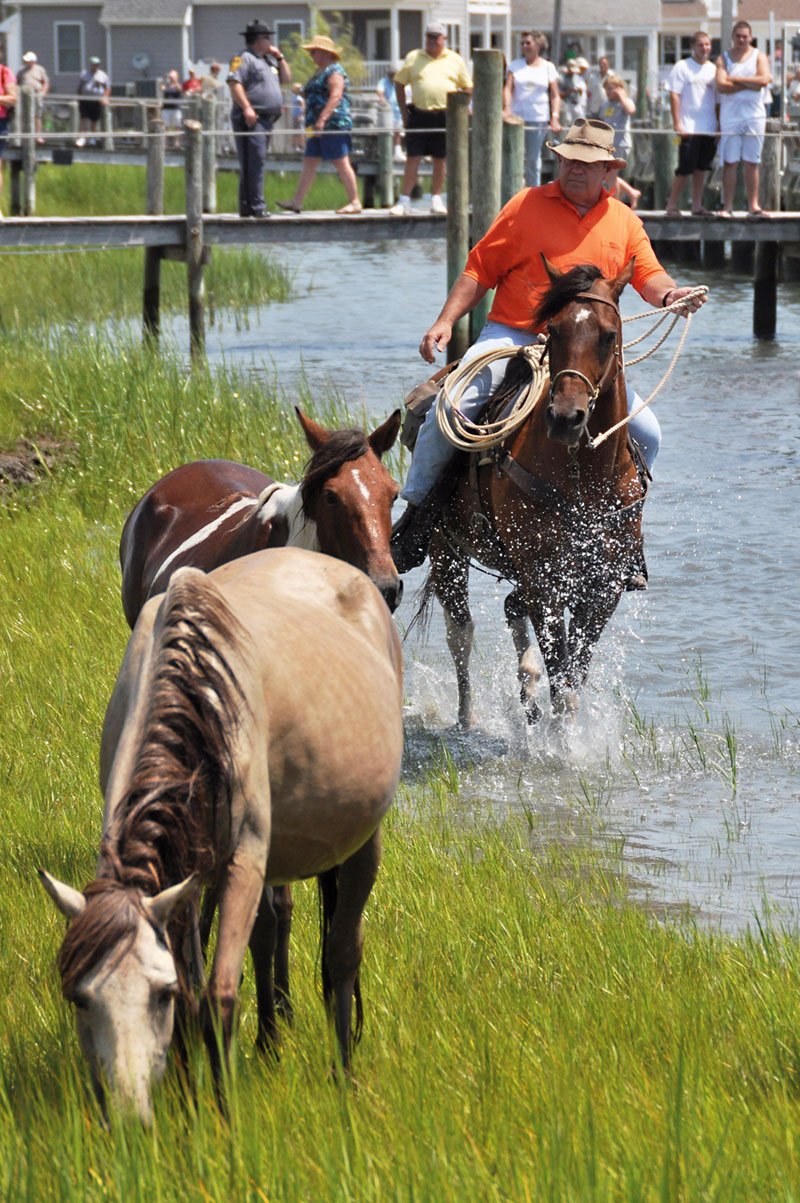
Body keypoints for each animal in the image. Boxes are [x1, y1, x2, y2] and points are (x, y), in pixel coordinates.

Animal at [39, 550, 401, 1121]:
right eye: (80, 997)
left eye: (156, 995)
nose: (128, 1114)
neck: (196, 698)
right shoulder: (185, 874)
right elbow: (196, 992)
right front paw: (187, 1104)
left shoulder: (241, 861)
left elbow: (219, 996)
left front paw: (224, 1120)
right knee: (269, 932)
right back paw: (271, 1047)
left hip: (363, 841)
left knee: (342, 953)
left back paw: (342, 1074)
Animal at [428, 259, 644, 726]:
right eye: (554, 330)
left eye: (609, 335)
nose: (565, 417)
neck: (583, 481)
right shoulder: (543, 580)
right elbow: (562, 685)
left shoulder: (602, 587)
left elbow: (574, 679)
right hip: (445, 550)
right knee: (460, 633)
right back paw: (467, 720)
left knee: (511, 609)